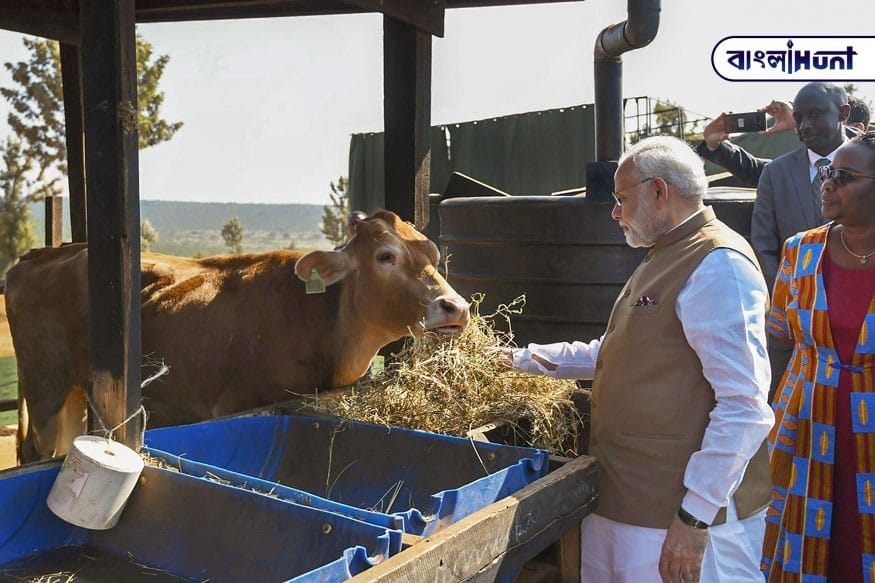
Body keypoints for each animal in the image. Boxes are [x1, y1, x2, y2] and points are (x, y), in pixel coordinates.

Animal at [5, 210, 472, 460]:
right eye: (385, 256)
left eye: (433, 255)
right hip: (46, 388)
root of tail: (43, 253)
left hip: (71, 392)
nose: (457, 307)